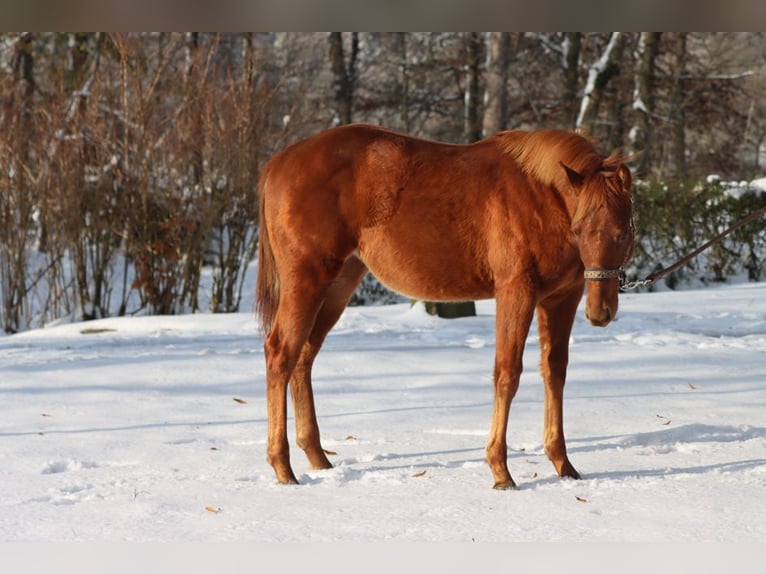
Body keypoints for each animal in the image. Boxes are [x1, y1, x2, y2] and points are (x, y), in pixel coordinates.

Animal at [258, 125, 636, 490]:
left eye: (622, 233)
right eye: (580, 229)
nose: (600, 313)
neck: (540, 197)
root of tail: (279, 163)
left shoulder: (562, 298)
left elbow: (554, 372)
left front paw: (563, 464)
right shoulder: (516, 292)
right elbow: (507, 374)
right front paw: (500, 470)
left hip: (338, 285)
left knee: (303, 357)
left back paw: (317, 457)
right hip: (308, 282)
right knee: (281, 354)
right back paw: (283, 467)